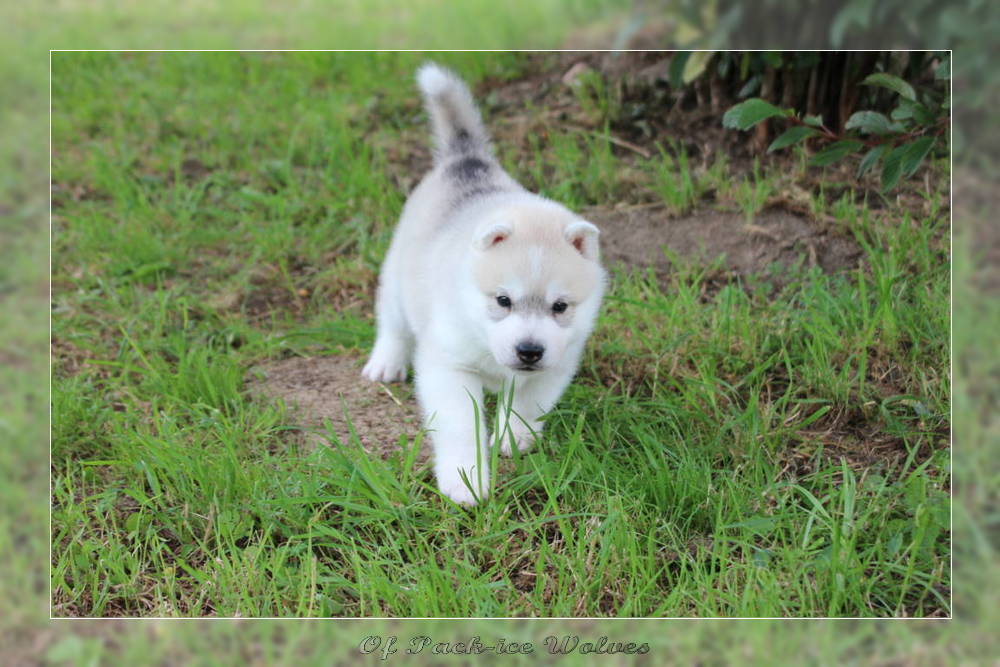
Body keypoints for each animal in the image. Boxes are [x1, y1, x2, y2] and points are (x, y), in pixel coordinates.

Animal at [362, 64, 604, 506]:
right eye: (503, 300)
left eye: (560, 306)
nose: (529, 351)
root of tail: (467, 160)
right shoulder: (449, 367)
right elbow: (460, 426)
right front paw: (466, 479)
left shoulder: (557, 364)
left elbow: (528, 403)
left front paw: (513, 437)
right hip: (397, 279)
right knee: (392, 322)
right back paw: (385, 361)